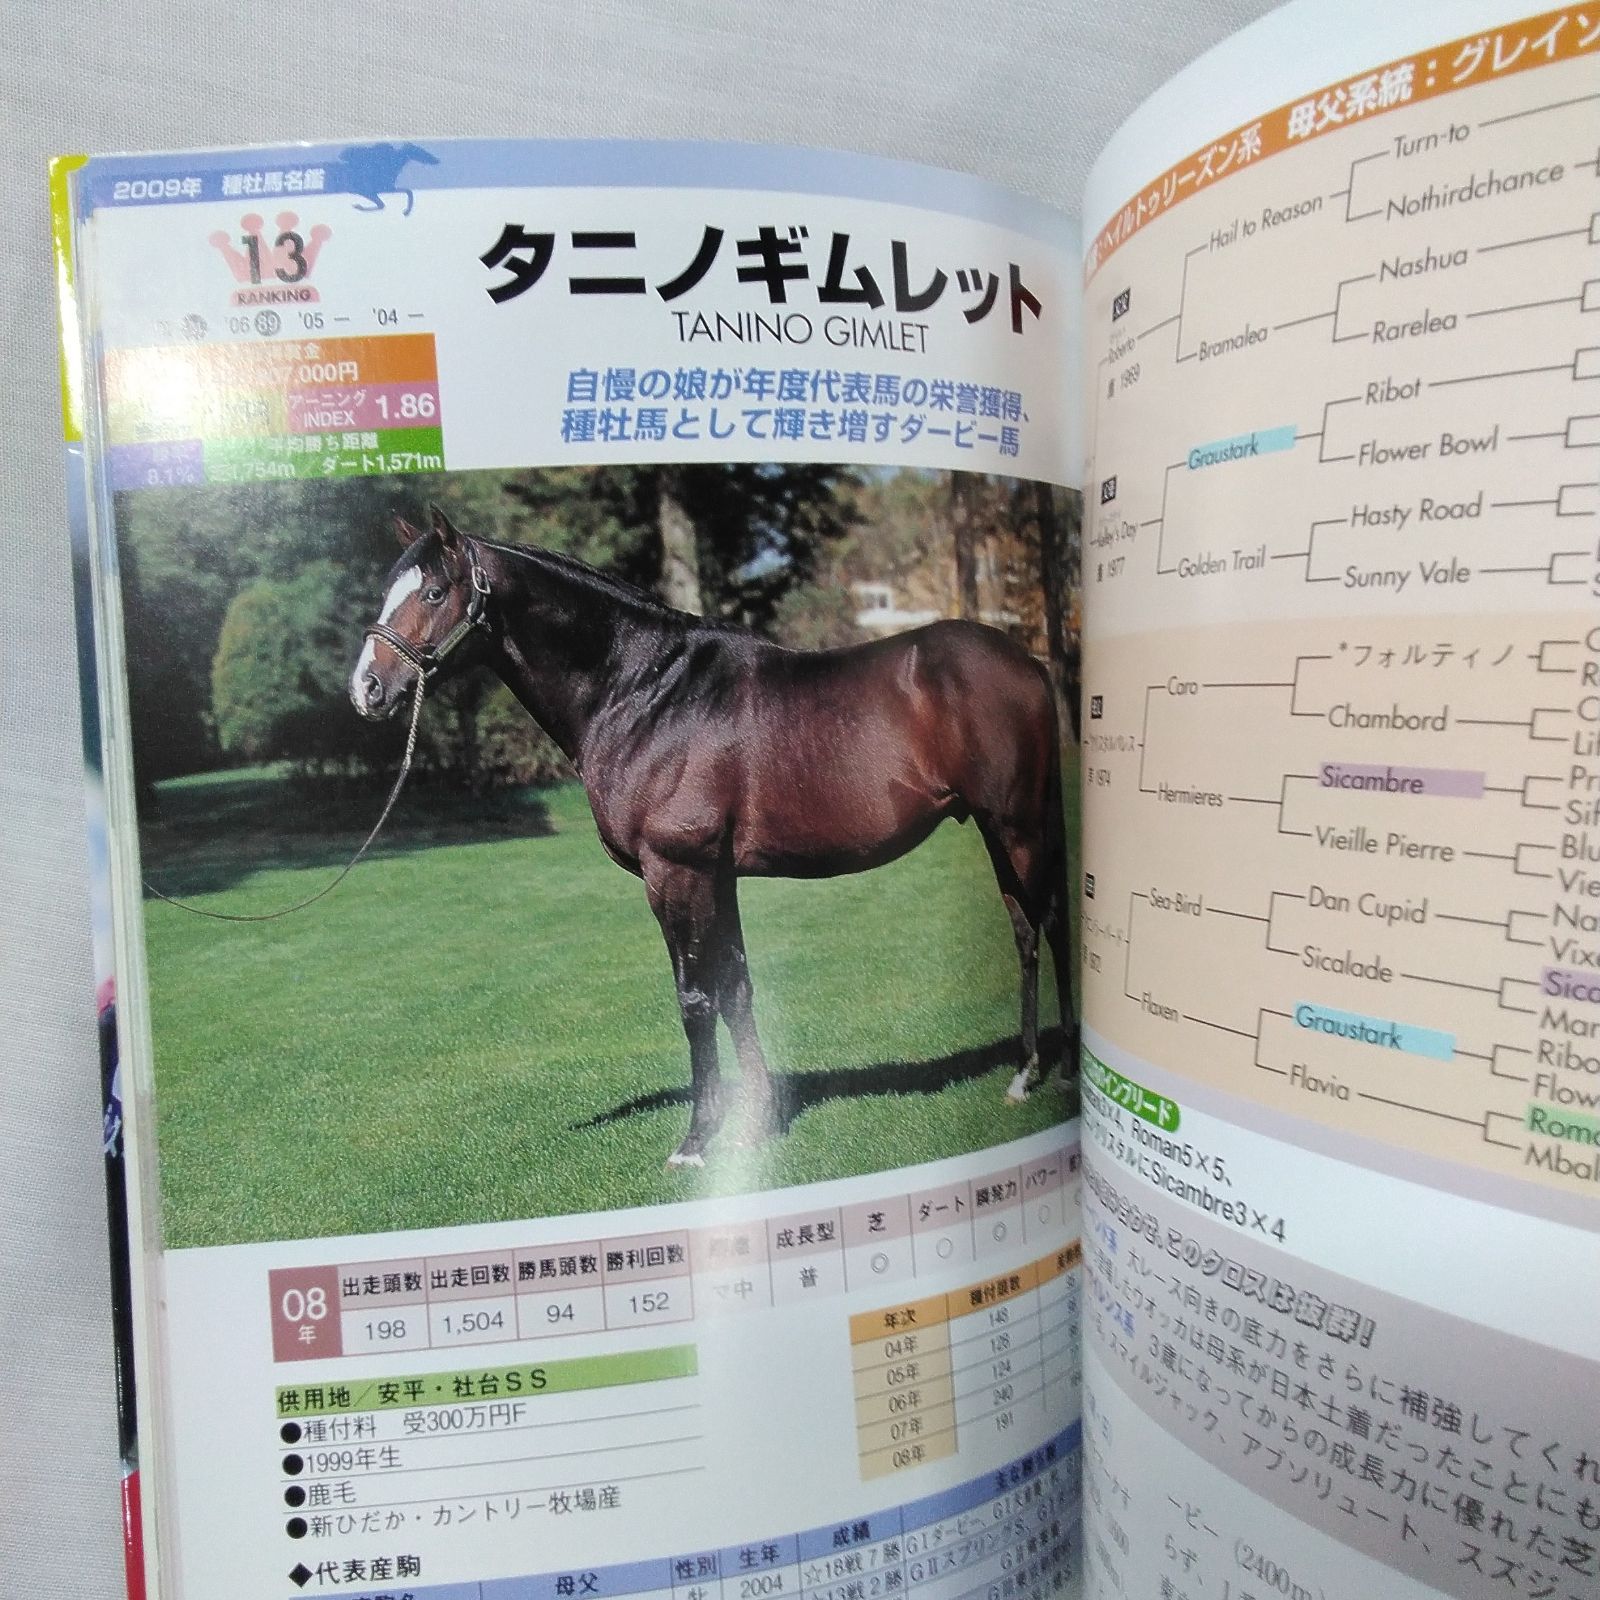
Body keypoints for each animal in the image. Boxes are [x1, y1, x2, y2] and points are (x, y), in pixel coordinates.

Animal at [350, 507, 1076, 1167]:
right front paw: (758, 1121)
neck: (646, 692)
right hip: (998, 828)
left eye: (434, 592)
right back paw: (1027, 1072)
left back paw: (1061, 1072)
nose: (366, 689)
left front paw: (697, 1141)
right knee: (1025, 927)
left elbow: (696, 998)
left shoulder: (677, 870)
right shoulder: (716, 874)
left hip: (1017, 824)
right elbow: (736, 989)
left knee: (1052, 924)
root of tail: (1029, 662)